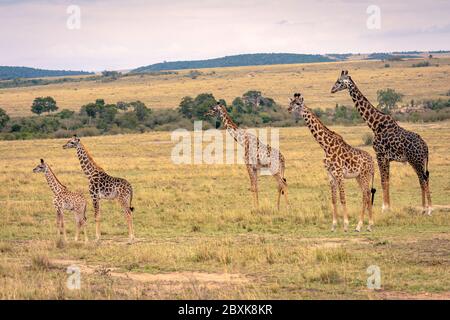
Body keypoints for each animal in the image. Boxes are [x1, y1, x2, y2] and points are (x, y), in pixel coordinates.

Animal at [288, 94, 376, 231]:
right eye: (291, 102)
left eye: (297, 103)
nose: (288, 109)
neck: (326, 146)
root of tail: (372, 162)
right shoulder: (330, 174)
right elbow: (334, 199)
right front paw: (334, 225)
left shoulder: (339, 174)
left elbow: (343, 198)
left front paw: (345, 225)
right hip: (358, 177)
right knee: (365, 194)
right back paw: (366, 225)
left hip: (364, 175)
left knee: (366, 195)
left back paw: (361, 225)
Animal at [330, 70, 432, 215]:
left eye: (339, 81)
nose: (332, 89)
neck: (374, 125)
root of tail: (426, 148)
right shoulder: (387, 158)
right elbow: (387, 180)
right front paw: (388, 207)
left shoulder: (380, 155)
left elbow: (383, 181)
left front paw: (384, 207)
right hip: (419, 162)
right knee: (424, 179)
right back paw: (426, 207)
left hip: (416, 161)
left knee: (422, 181)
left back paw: (426, 209)